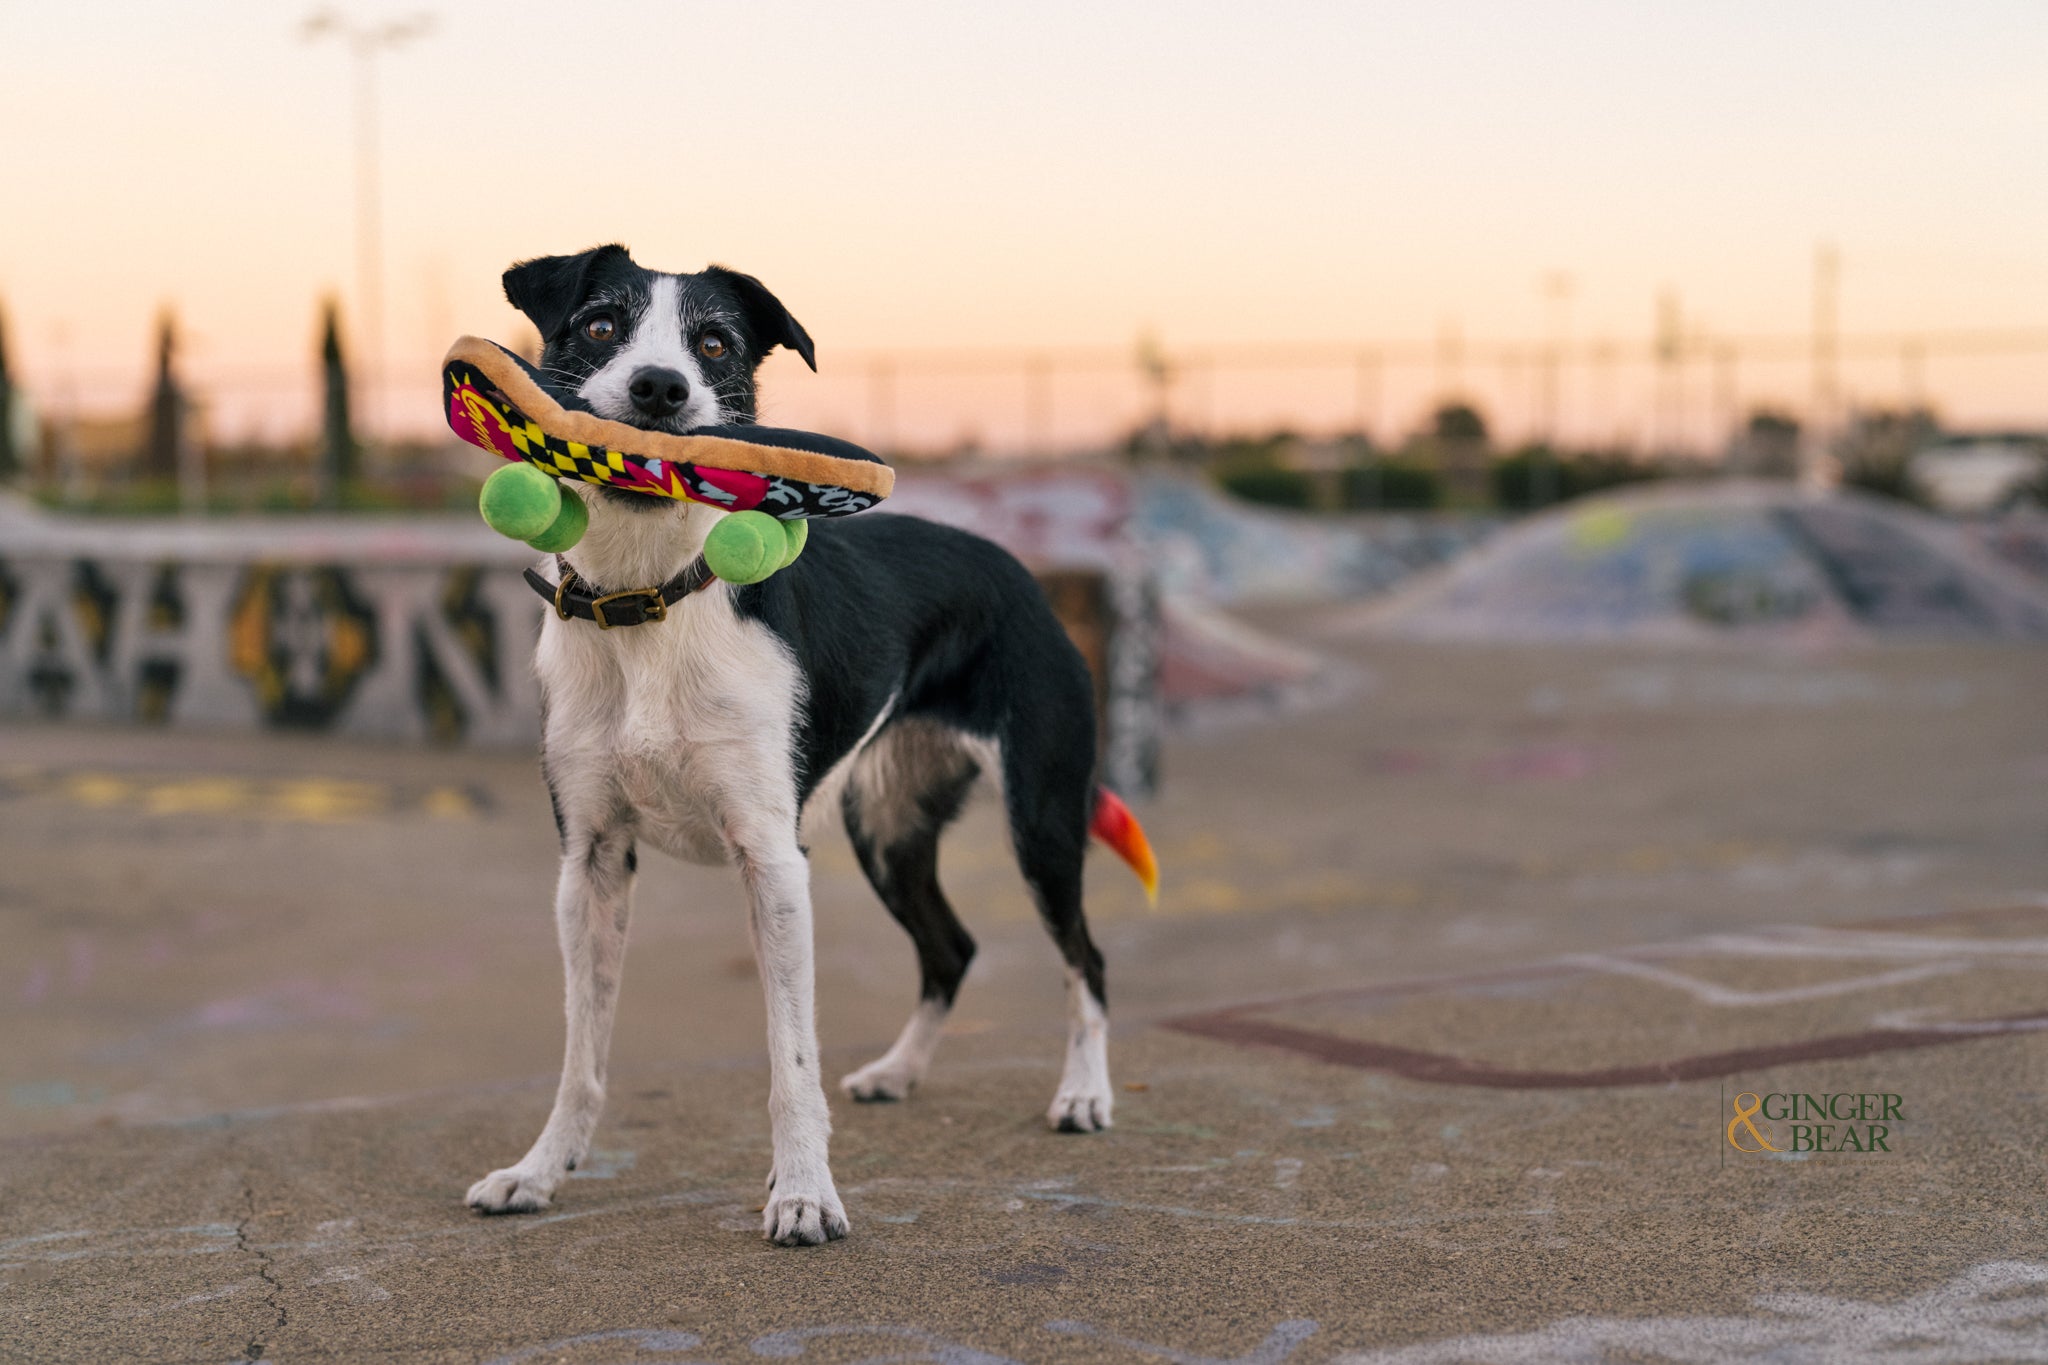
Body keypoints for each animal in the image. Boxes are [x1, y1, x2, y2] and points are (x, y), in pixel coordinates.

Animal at [464, 245, 1146, 1252]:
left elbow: (791, 1059)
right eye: (599, 324)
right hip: (888, 827)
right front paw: (541, 1171)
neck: (648, 600)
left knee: (1085, 958)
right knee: (953, 947)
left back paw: (1085, 1094)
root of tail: (1017, 568)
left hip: (1043, 817)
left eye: (715, 342)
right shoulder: (590, 861)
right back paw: (898, 1071)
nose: (661, 387)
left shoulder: (772, 860)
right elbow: (582, 1051)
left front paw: (803, 1193)